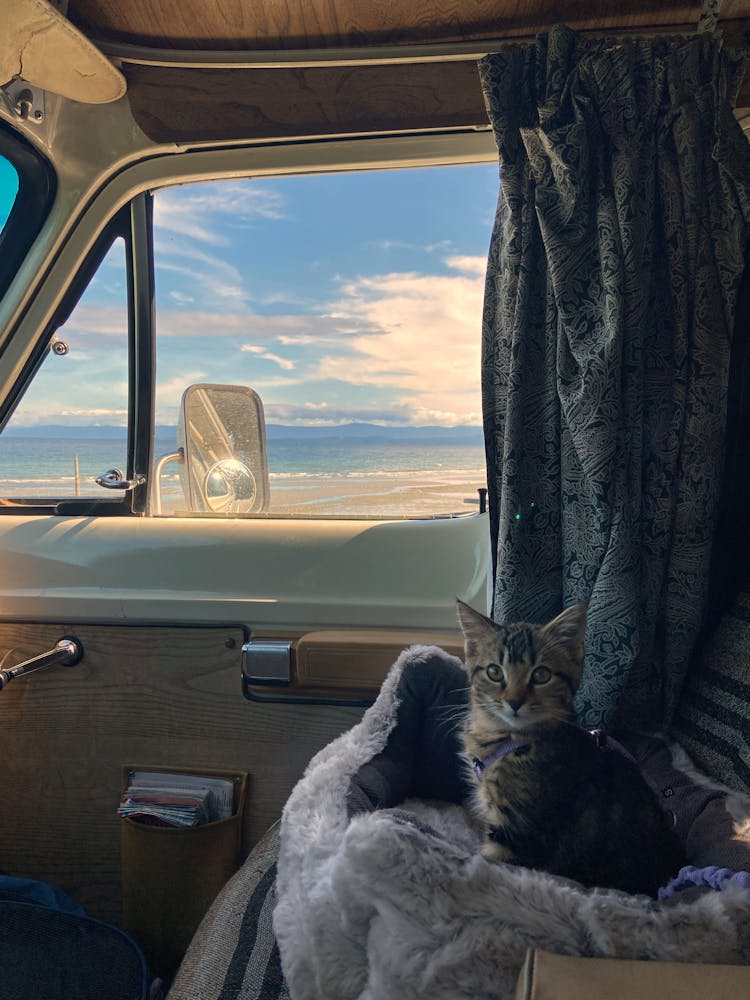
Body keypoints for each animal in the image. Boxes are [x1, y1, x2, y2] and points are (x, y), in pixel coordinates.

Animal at [458, 596, 688, 896]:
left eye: (541, 675)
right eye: (495, 672)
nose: (514, 701)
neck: (510, 740)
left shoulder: (516, 834)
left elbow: (490, 863)